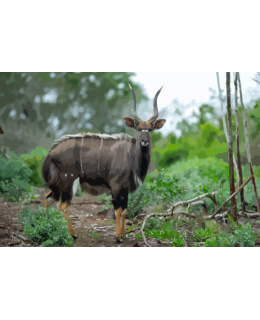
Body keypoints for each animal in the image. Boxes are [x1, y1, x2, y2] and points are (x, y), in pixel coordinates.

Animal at [41, 85, 166, 242]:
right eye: (138, 129)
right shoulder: (116, 186)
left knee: (49, 197)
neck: (131, 156)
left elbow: (125, 210)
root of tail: (50, 153)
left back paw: (47, 226)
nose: (144, 141)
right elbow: (118, 210)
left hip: (59, 183)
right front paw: (118, 237)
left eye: (150, 129)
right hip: (68, 180)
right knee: (63, 204)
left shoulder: (125, 189)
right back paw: (72, 235)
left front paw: (123, 236)